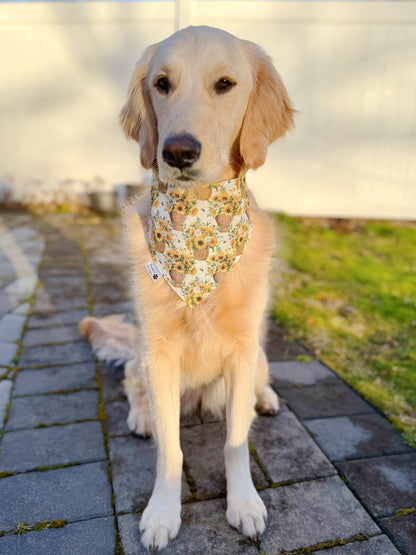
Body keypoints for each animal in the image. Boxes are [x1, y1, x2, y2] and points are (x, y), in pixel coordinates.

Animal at [79, 25, 294, 552]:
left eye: (225, 84)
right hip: (140, 353)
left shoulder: (242, 350)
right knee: (131, 383)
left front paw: (244, 504)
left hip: (257, 356)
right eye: (162, 83)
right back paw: (140, 417)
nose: (177, 152)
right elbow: (170, 450)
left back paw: (265, 399)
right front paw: (162, 513)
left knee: (259, 384)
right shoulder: (158, 352)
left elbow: (236, 442)